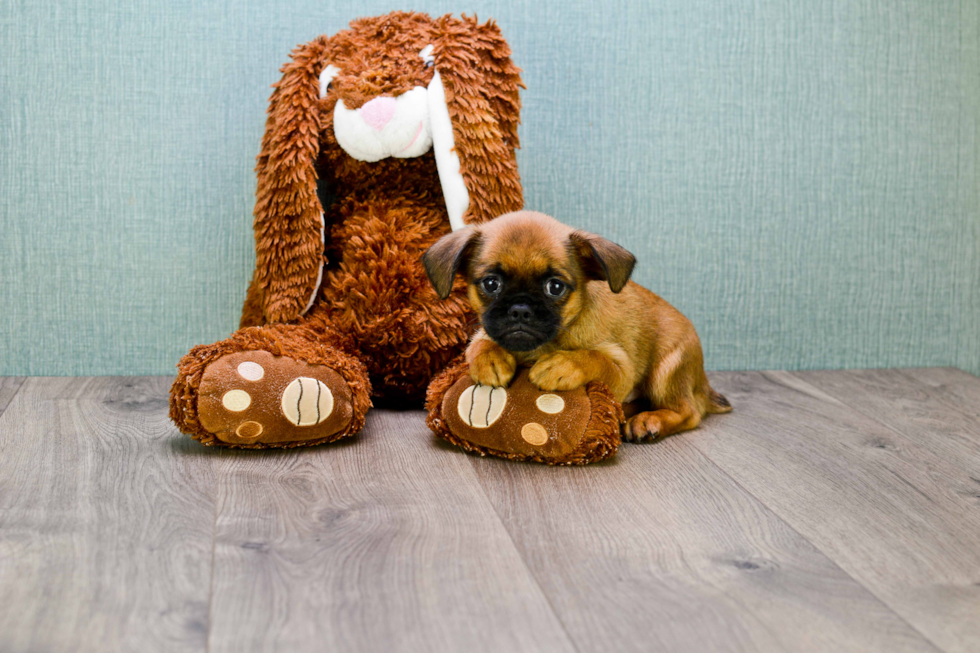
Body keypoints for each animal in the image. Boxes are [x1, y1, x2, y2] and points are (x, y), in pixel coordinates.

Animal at [424, 211, 732, 440]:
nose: (520, 309)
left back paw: (648, 421)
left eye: (555, 287)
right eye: (491, 283)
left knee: (689, 412)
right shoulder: (485, 331)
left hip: (666, 371)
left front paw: (562, 365)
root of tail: (702, 384)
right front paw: (490, 360)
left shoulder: (621, 371)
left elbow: (593, 358)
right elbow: (480, 343)